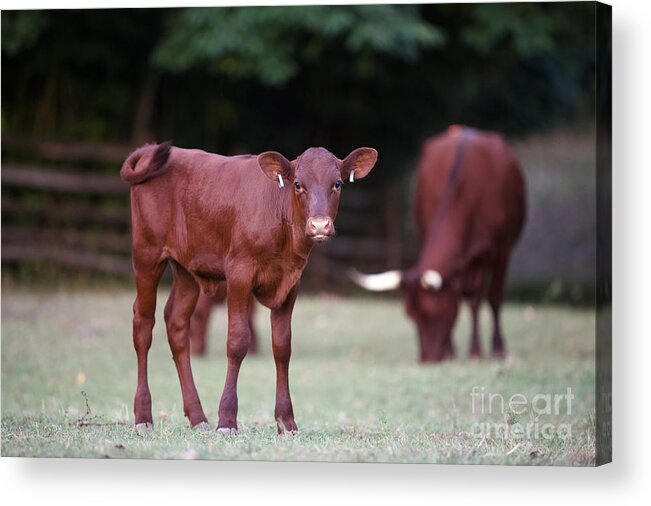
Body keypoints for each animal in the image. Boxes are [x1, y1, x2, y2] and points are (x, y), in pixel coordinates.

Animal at [121, 140, 376, 432]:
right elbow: (237, 341)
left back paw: (198, 417)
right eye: (297, 184)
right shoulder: (239, 274)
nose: (320, 225)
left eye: (338, 183)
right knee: (143, 324)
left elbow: (282, 347)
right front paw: (227, 419)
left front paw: (286, 421)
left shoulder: (291, 284)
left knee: (176, 322)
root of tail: (149, 151)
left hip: (186, 269)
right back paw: (143, 416)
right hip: (146, 254)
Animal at [352, 127, 524, 364]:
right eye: (411, 315)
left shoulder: (501, 249)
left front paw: (485, 350)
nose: (428, 360)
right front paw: (451, 352)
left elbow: (489, 298)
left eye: (436, 312)